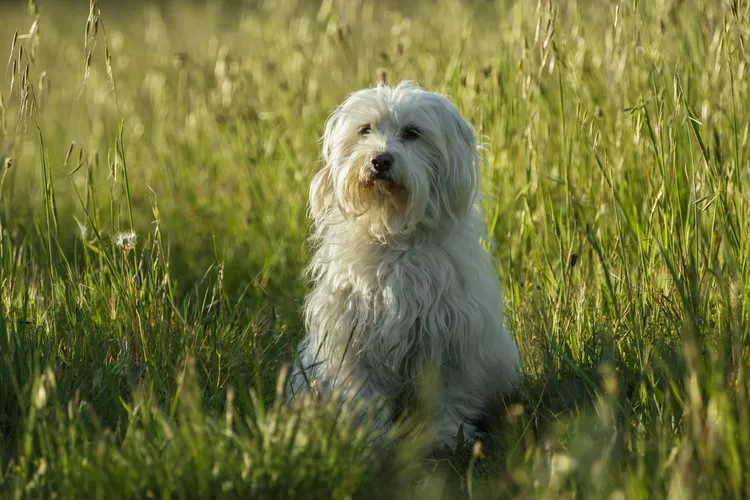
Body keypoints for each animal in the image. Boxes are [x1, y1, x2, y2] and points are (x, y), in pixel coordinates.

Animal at [288, 81, 524, 446]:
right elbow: (364, 394)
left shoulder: (449, 335)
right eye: (364, 130)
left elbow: (447, 392)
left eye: (412, 133)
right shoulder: (353, 336)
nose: (380, 160)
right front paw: (371, 435)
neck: (394, 234)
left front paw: (448, 432)